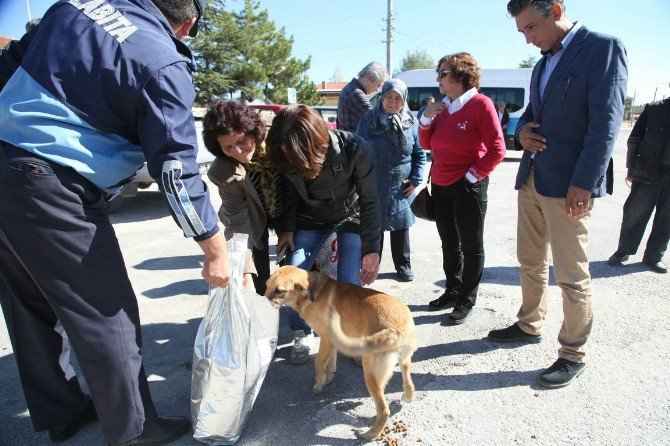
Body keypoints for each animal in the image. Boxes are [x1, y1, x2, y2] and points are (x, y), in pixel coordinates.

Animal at [266, 264, 418, 440]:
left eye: (279, 290)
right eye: (267, 284)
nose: (263, 299)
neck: (314, 292)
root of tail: (397, 330)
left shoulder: (325, 338)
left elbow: (319, 363)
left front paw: (319, 384)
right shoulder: (332, 342)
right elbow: (331, 362)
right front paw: (328, 378)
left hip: (371, 374)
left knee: (384, 411)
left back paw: (368, 434)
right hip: (404, 362)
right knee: (410, 384)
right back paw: (406, 397)